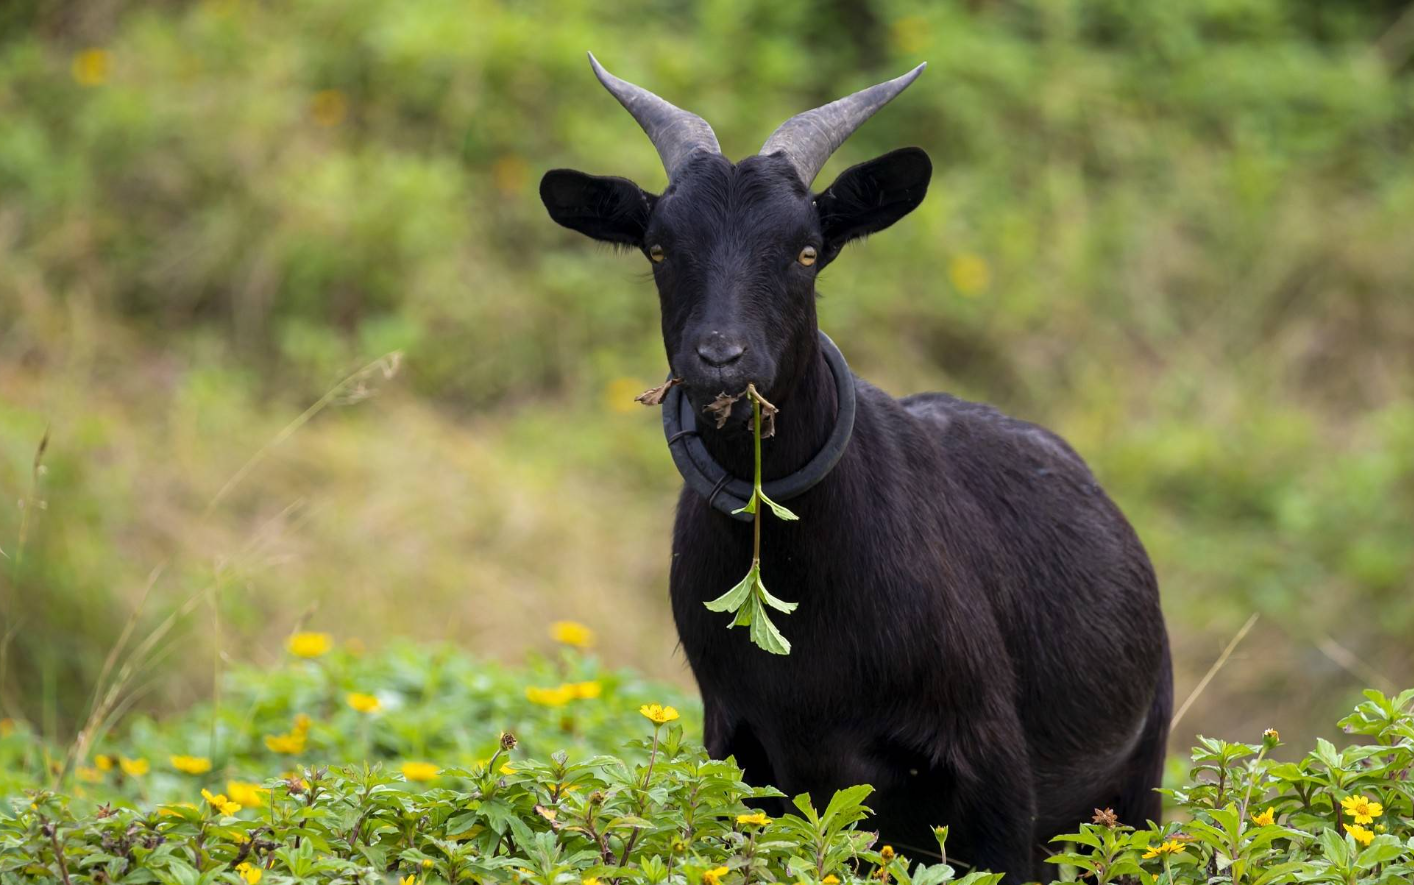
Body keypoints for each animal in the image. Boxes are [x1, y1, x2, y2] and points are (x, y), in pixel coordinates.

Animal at [540, 55, 1170, 876]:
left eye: (807, 250)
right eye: (658, 248)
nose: (720, 359)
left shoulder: (994, 776)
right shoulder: (746, 757)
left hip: (1138, 778)